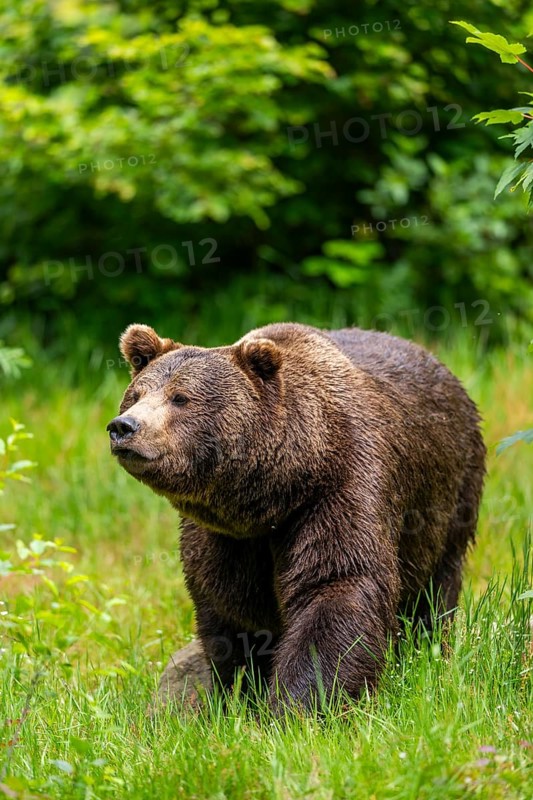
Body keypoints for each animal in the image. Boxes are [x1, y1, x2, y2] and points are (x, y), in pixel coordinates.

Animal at [107, 322, 486, 712]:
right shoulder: (224, 537)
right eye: (136, 394)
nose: (124, 426)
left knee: (436, 588)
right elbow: (230, 607)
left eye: (180, 397)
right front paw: (243, 692)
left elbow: (337, 584)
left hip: (450, 497)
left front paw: (298, 703)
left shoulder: (340, 486)